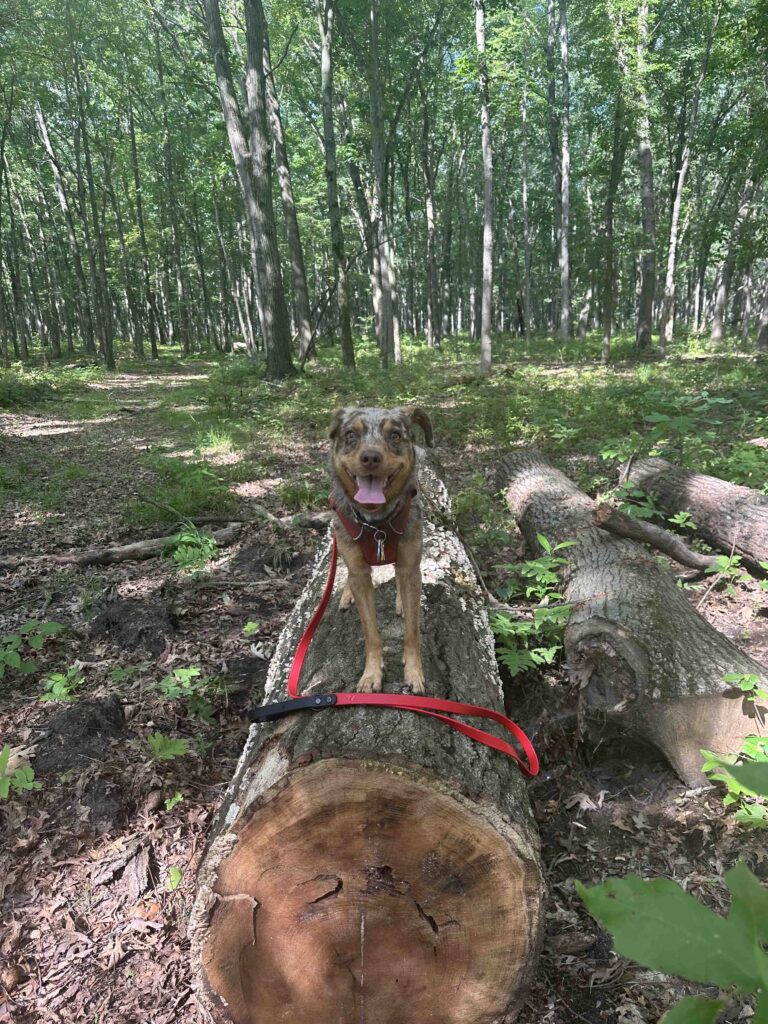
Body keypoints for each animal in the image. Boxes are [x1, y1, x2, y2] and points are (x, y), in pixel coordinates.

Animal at [329, 407, 434, 696]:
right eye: (350, 434)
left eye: (395, 435)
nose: (370, 457)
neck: (376, 524)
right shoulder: (359, 571)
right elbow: (371, 634)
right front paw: (371, 674)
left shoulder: (410, 564)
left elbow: (412, 632)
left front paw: (414, 673)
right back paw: (346, 594)